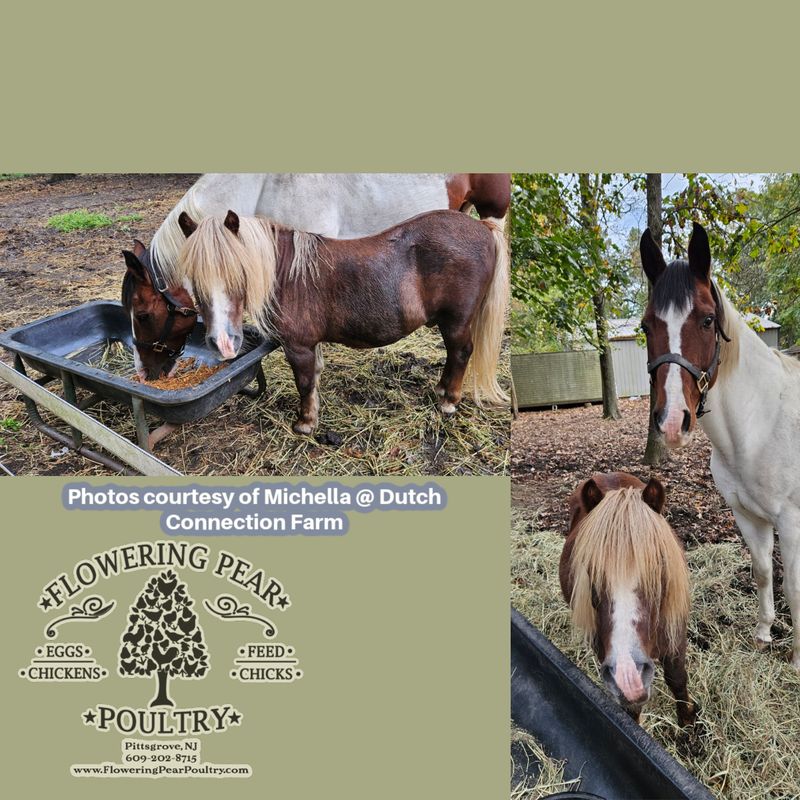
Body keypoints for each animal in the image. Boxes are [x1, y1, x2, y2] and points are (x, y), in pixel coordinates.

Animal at [174, 208, 509, 434]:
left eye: (239, 273)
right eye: (193, 278)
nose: (224, 343)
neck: (287, 274)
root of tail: (481, 226)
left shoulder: (298, 347)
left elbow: (304, 383)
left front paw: (305, 423)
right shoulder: (312, 345)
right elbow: (315, 378)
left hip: (456, 321)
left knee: (461, 353)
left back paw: (449, 401)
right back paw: (441, 391)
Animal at [559, 472, 698, 726]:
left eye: (659, 565)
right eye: (590, 570)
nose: (629, 676)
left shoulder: (675, 633)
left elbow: (676, 677)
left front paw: (687, 721)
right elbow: (631, 710)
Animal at [640, 222, 800, 670]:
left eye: (708, 320)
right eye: (646, 326)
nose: (671, 421)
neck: (759, 425)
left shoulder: (791, 523)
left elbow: (793, 588)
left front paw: (797, 660)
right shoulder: (747, 516)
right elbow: (762, 571)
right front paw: (763, 634)